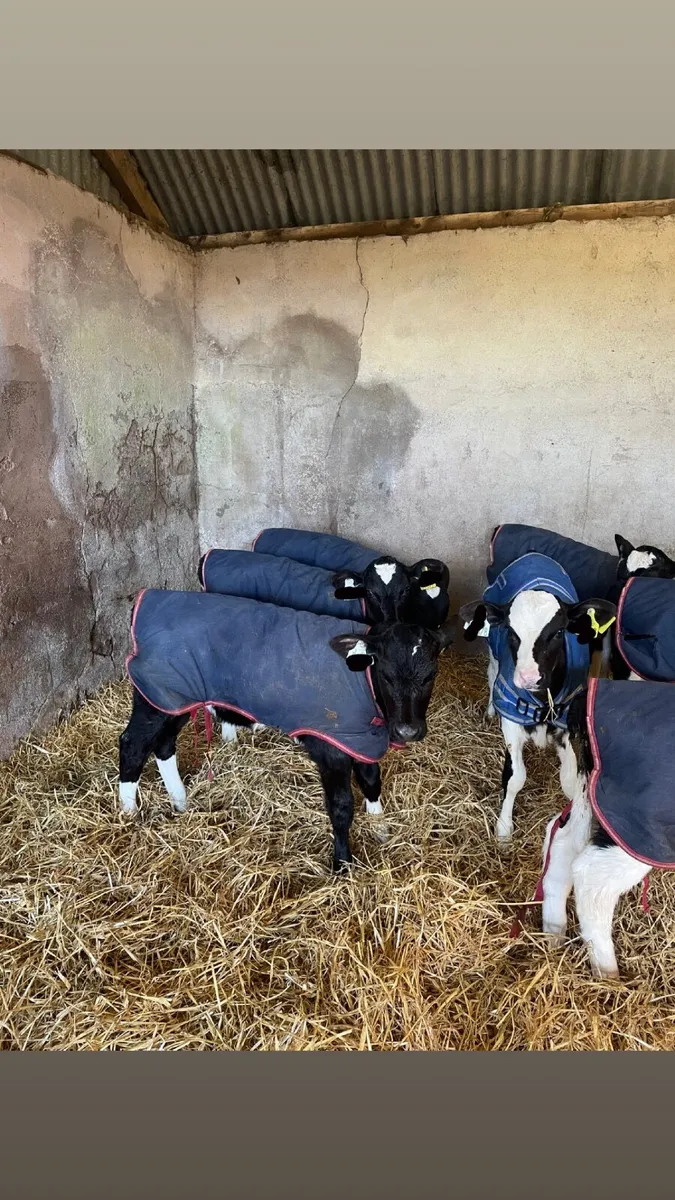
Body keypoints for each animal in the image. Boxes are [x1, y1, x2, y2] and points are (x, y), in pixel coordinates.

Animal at [119, 588, 454, 872]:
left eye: (431, 674)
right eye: (385, 674)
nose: (408, 730)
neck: (365, 686)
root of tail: (147, 597)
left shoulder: (361, 738)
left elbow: (372, 781)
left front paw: (380, 828)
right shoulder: (330, 744)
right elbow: (341, 806)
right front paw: (342, 864)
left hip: (174, 701)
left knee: (163, 745)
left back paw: (180, 802)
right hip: (155, 697)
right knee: (133, 745)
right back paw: (128, 814)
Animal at [461, 552, 616, 843]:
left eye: (558, 632)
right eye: (511, 632)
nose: (528, 677)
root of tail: (534, 555)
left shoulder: (568, 725)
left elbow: (569, 781)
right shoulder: (511, 721)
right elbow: (515, 778)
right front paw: (504, 828)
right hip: (493, 655)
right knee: (492, 673)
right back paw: (489, 710)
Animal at [540, 678, 675, 980]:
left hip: (593, 799)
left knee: (564, 843)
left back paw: (554, 934)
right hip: (640, 824)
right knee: (592, 877)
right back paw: (608, 975)